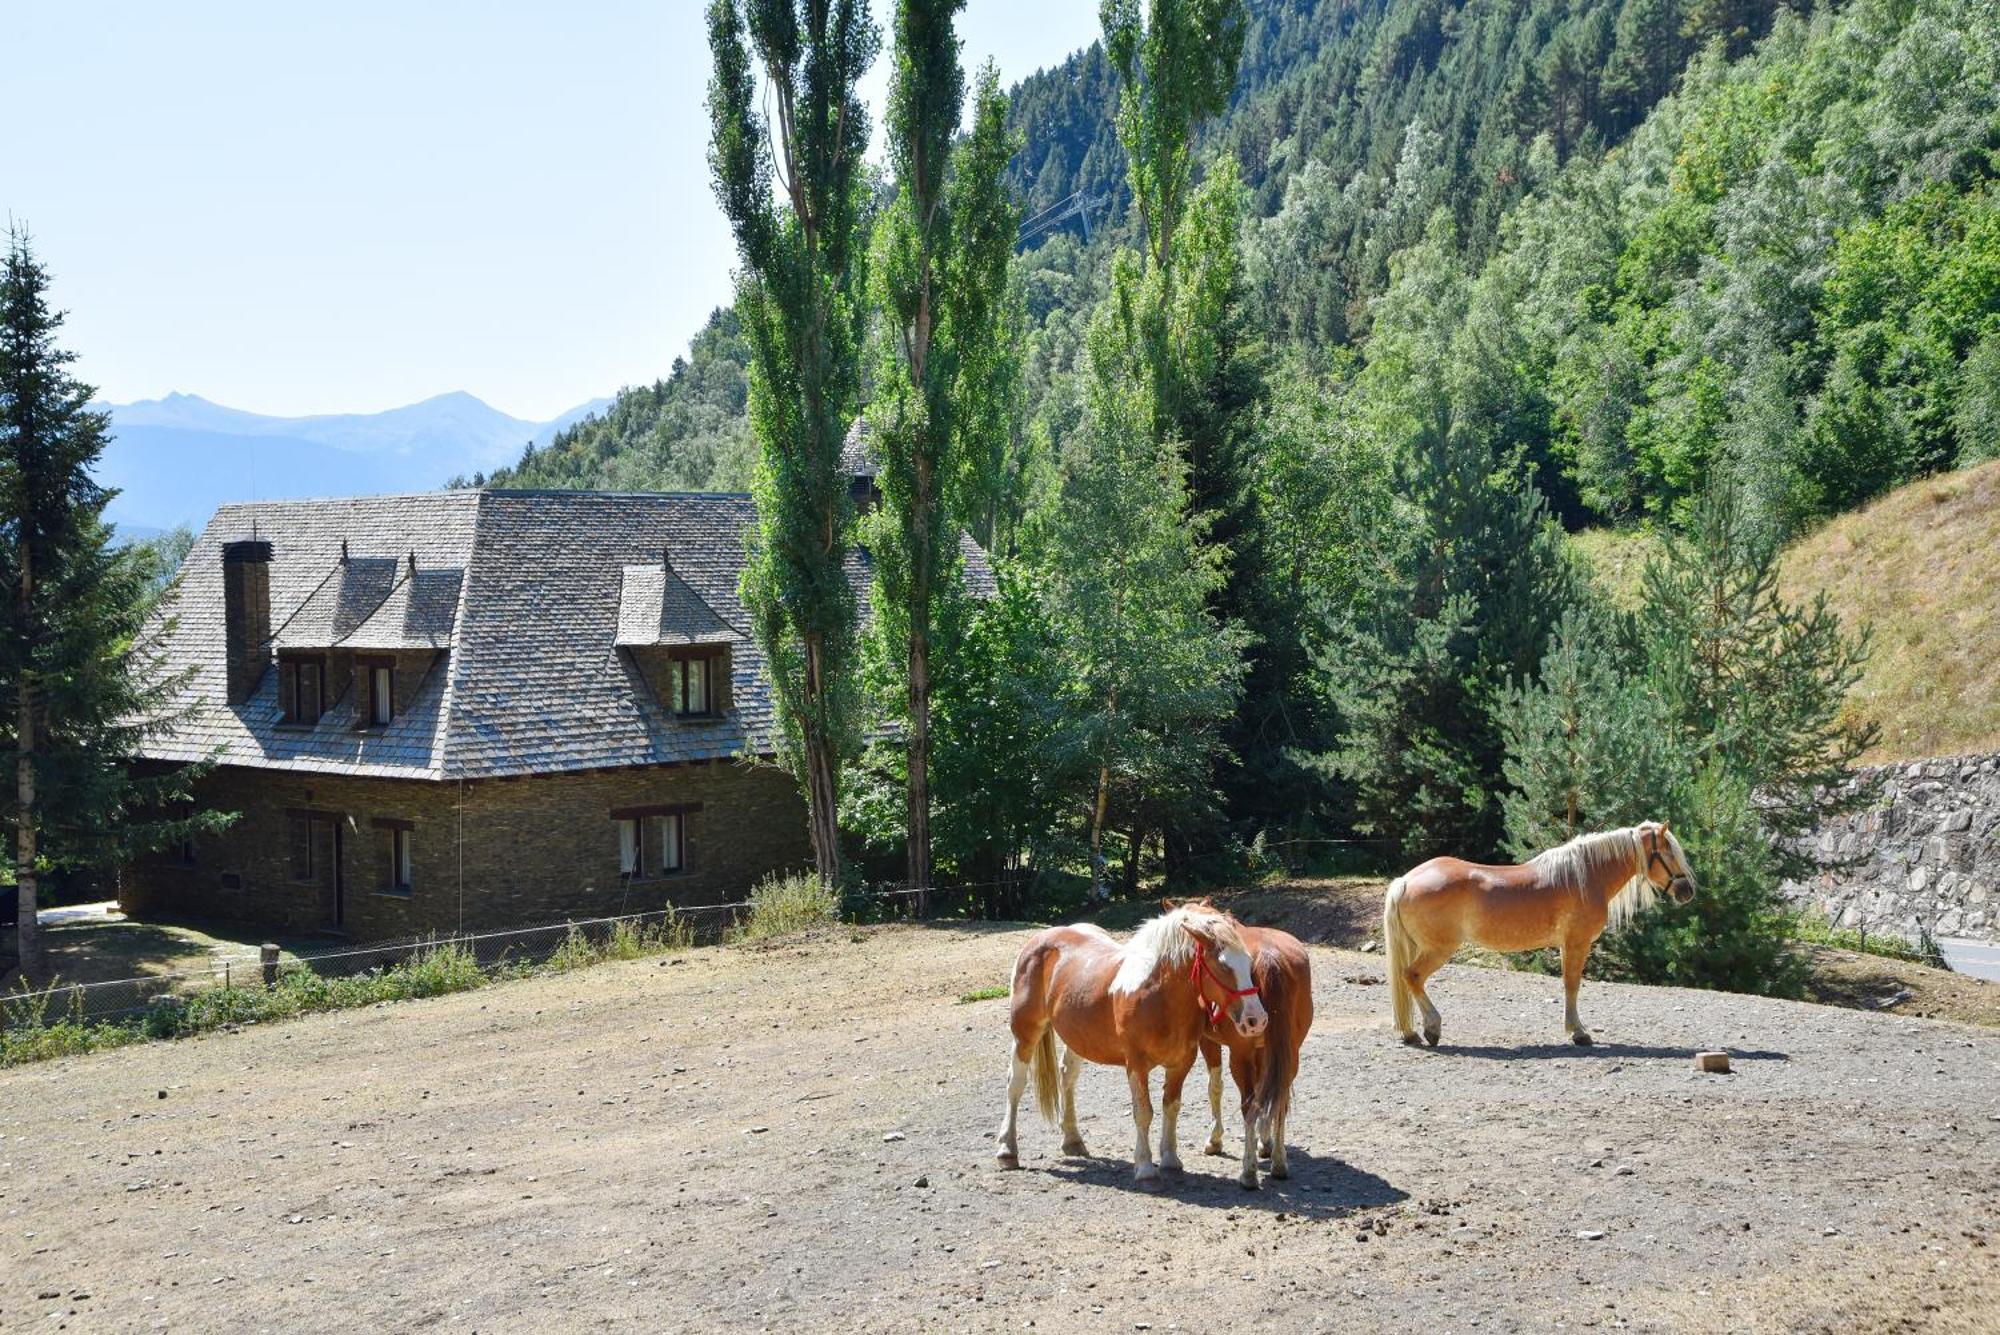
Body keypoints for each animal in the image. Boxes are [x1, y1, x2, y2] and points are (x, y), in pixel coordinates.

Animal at [996, 903, 1264, 1183]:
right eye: (1222, 965)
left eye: (1248, 961)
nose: (1256, 1019)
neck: (1159, 996)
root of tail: (1040, 938)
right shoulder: (1136, 1063)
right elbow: (1144, 1112)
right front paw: (1145, 1166)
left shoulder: (1181, 1063)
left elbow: (1171, 1106)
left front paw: (1170, 1159)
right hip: (1025, 1033)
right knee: (1015, 1084)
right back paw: (1007, 1150)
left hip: (1076, 1036)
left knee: (1067, 1076)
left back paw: (1073, 1140)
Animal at [1192, 923, 1320, 1191]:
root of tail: (1271, 956)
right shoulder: (1265, 1051)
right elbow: (1265, 1092)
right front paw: (1265, 1141)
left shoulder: (1209, 1041)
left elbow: (1215, 1087)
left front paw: (1215, 1140)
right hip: (1290, 1053)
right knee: (1280, 1100)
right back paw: (1279, 1163)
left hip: (1240, 1057)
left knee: (1249, 1105)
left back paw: (1248, 1172)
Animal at [1384, 819, 1696, 1047]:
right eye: (1668, 852)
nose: (1688, 891)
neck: (1584, 877)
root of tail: (1406, 880)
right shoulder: (1577, 943)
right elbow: (1572, 984)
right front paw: (1578, 1032)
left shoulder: (1566, 945)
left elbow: (1568, 985)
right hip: (1439, 949)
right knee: (1412, 976)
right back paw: (1431, 1029)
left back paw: (1411, 1032)